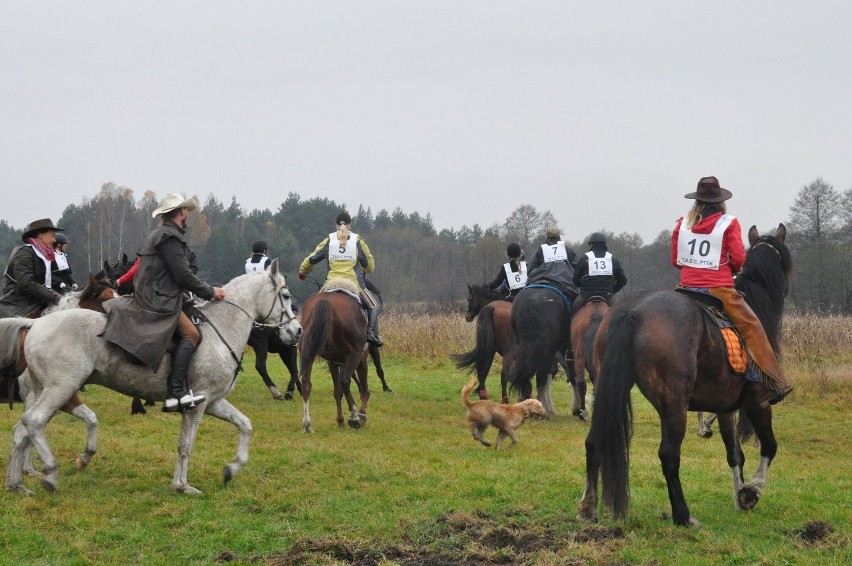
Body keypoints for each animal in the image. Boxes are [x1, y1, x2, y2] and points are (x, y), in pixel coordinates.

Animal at [0, 262, 302, 496]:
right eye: (286, 295)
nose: (297, 331)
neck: (221, 328)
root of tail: (36, 324)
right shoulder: (198, 404)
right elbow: (185, 444)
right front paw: (182, 486)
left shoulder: (213, 402)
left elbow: (245, 425)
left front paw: (231, 469)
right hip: (61, 389)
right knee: (34, 423)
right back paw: (51, 473)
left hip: (45, 392)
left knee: (22, 432)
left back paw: (17, 484)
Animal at [300, 280, 370, 434]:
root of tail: (326, 301)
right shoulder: (361, 359)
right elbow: (363, 390)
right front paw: (361, 415)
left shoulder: (333, 361)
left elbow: (337, 392)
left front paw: (340, 420)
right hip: (355, 355)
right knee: (345, 381)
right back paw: (355, 416)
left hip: (307, 351)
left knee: (306, 383)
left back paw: (307, 424)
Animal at [576, 223, 796, 528]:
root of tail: (632, 312)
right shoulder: (757, 402)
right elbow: (769, 446)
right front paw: (751, 491)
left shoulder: (726, 407)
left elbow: (734, 453)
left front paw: (739, 494)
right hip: (674, 404)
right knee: (669, 454)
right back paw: (683, 514)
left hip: (604, 389)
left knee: (593, 441)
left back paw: (588, 507)